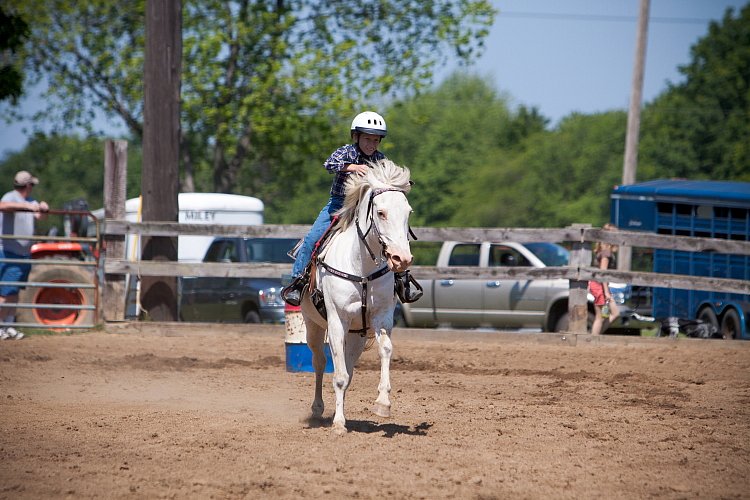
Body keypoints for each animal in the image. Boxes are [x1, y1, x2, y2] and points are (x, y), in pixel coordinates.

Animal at [302, 159, 418, 434]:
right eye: (381, 213)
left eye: (408, 212)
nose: (402, 259)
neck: (361, 267)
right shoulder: (336, 321)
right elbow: (338, 376)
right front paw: (338, 425)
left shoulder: (382, 318)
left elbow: (385, 350)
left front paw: (383, 403)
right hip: (312, 325)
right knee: (320, 362)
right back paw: (318, 410)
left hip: (356, 334)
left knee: (348, 368)